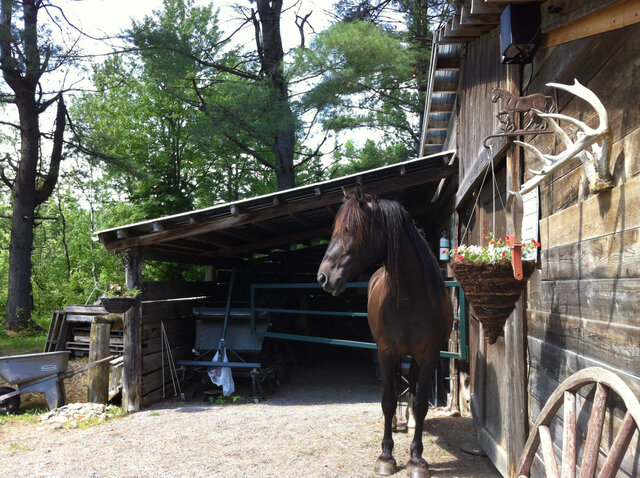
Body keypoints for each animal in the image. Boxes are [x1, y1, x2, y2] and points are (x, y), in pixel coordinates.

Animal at [317, 185, 453, 477]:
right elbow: (388, 401)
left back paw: (410, 423)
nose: (323, 277)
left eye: (350, 230)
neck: (409, 298)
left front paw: (417, 459)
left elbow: (421, 403)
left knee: (411, 386)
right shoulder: (386, 353)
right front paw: (386, 456)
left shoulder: (428, 355)